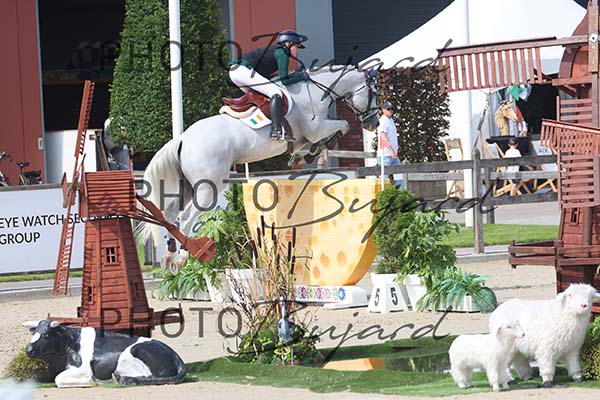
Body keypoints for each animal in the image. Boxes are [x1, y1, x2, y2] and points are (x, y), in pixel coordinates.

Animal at [23, 320, 186, 387]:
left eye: (45, 335)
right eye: (34, 333)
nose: (28, 349)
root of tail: (176, 356)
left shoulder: (84, 369)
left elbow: (58, 379)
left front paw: (90, 382)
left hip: (135, 351)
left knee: (153, 377)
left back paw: (123, 378)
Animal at [139, 66, 379, 270]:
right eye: (374, 93)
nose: (374, 123)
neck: (316, 88)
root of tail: (183, 138)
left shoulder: (306, 136)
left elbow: (313, 144)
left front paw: (305, 154)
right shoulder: (315, 128)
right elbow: (343, 126)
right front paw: (318, 148)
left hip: (188, 186)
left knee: (170, 215)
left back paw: (169, 255)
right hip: (209, 187)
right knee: (186, 218)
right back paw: (184, 255)